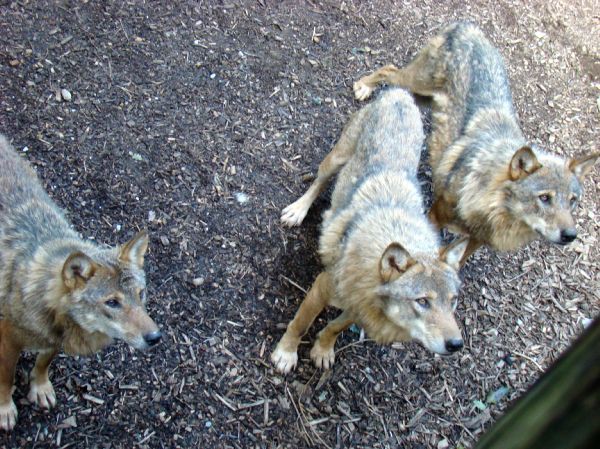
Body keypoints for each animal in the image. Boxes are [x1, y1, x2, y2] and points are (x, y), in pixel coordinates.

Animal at [0, 135, 162, 428]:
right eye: (112, 303)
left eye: (141, 294)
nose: (155, 337)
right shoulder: (8, 338)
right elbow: (5, 378)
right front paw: (4, 409)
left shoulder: (54, 341)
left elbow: (43, 363)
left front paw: (40, 387)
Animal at [272, 86, 468, 372]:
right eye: (422, 301)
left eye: (452, 301)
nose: (456, 345)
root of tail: (399, 93)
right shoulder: (321, 288)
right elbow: (300, 324)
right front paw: (286, 354)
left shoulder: (359, 308)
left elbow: (335, 328)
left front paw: (323, 349)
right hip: (336, 160)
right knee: (319, 182)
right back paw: (297, 211)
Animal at [354, 22, 596, 264]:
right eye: (545, 198)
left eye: (573, 200)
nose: (570, 235)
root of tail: (468, 26)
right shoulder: (435, 216)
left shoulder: (479, 239)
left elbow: (459, 260)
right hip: (415, 84)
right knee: (388, 69)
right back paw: (363, 86)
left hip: (421, 98)